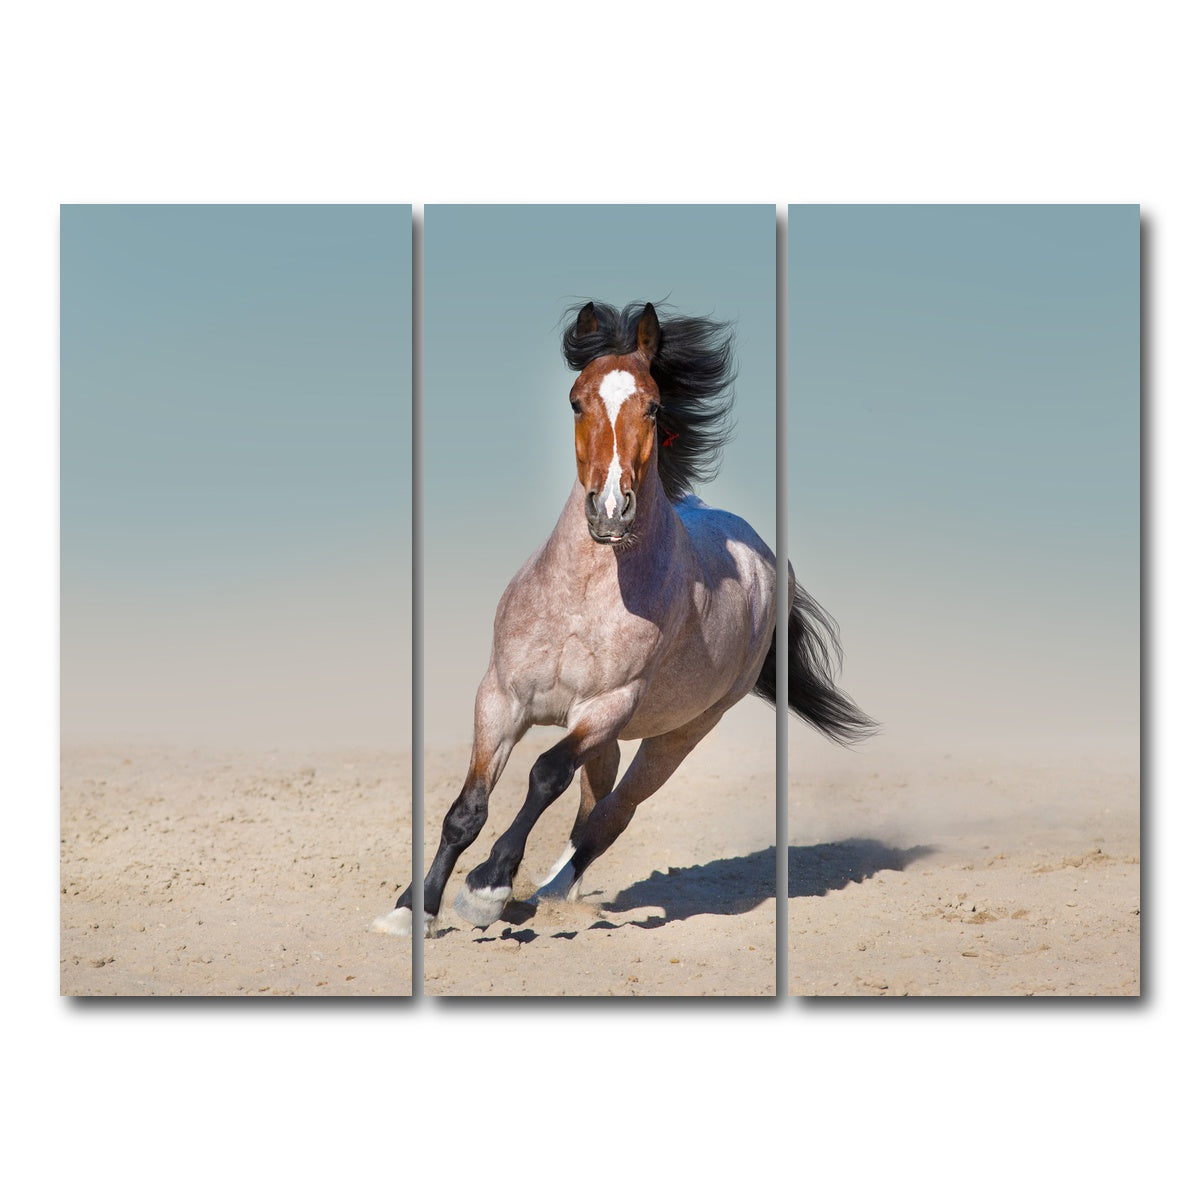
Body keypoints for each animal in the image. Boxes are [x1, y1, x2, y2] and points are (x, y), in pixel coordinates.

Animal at [373, 300, 873, 938]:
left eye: (653, 405)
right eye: (576, 401)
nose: (610, 510)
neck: (582, 599)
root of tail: (765, 559)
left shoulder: (605, 707)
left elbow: (545, 776)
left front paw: (486, 888)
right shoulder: (501, 699)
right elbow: (468, 809)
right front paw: (413, 911)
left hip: (679, 734)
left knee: (613, 814)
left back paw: (546, 892)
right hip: (609, 740)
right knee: (593, 806)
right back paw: (543, 893)